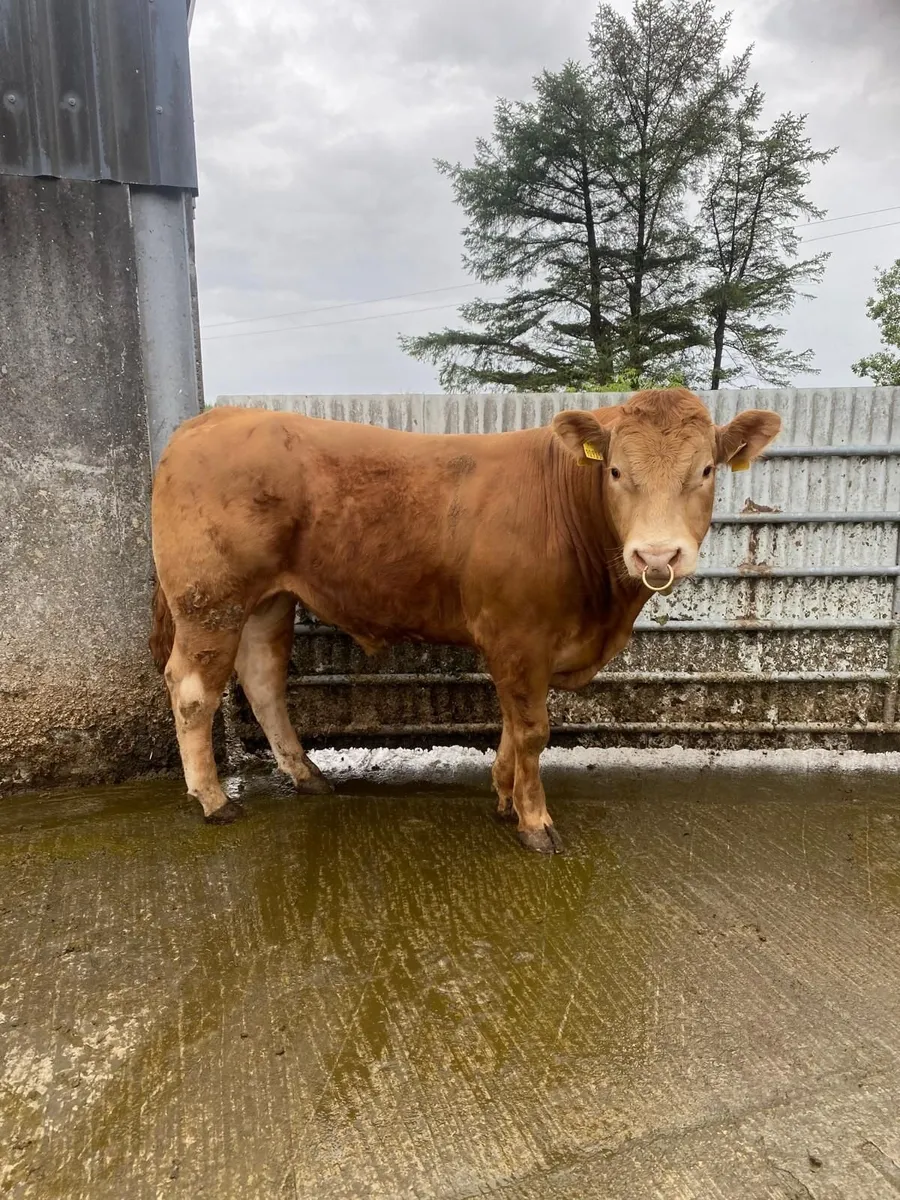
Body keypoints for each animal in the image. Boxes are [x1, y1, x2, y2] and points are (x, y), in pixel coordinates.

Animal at [149, 387, 780, 852]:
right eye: (618, 472)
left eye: (706, 470)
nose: (655, 555)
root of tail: (214, 418)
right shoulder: (518, 635)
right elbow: (532, 730)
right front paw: (535, 822)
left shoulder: (522, 646)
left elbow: (510, 726)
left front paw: (503, 797)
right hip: (211, 599)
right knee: (193, 690)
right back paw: (213, 800)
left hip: (268, 600)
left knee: (262, 680)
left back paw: (307, 776)